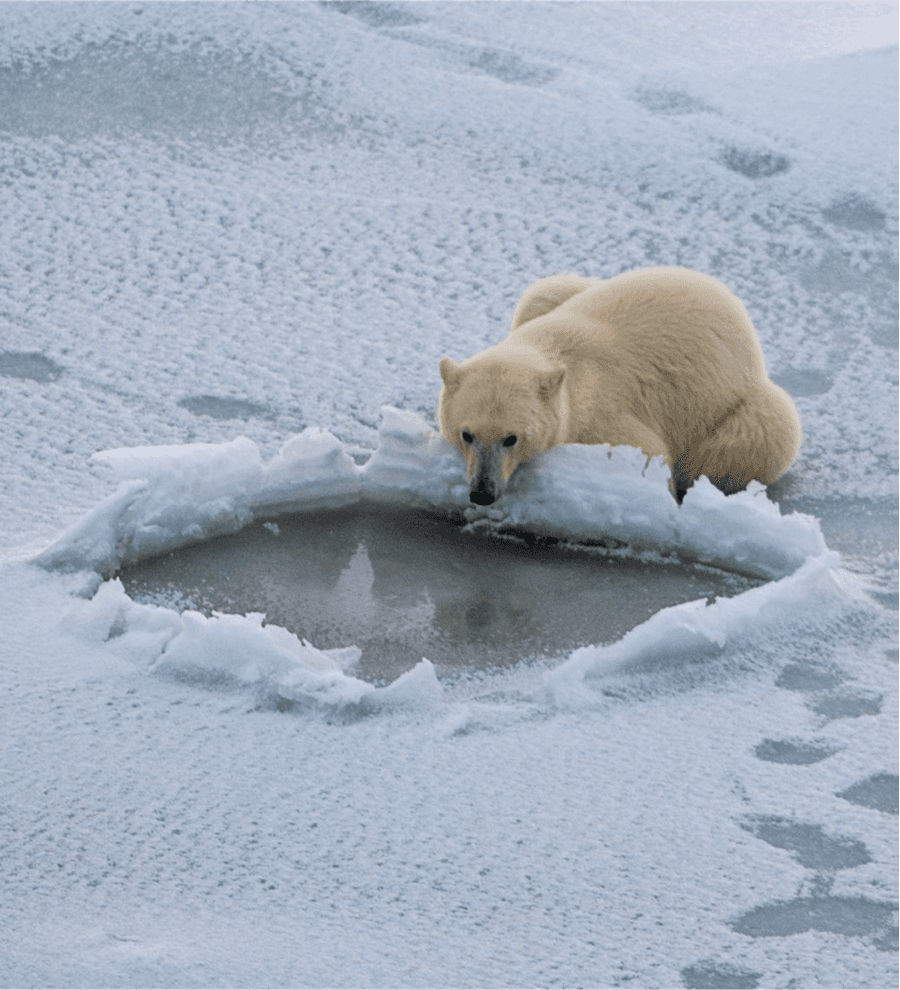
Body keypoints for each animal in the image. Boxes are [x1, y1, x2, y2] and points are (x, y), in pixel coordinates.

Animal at [438, 267, 801, 506]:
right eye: (467, 434)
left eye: (511, 438)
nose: (482, 493)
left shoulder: (605, 416)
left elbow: (650, 454)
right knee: (545, 289)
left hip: (741, 405)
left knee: (754, 439)